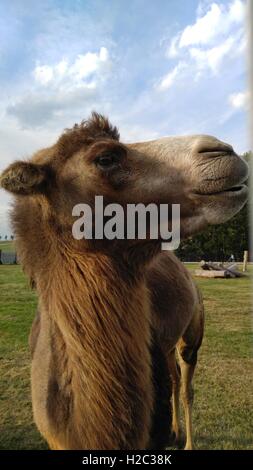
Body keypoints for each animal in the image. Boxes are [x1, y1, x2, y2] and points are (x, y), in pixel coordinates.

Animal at [0, 112, 248, 450]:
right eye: (106, 158)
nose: (223, 151)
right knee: (173, 376)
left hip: (193, 328)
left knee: (186, 383)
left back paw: (186, 441)